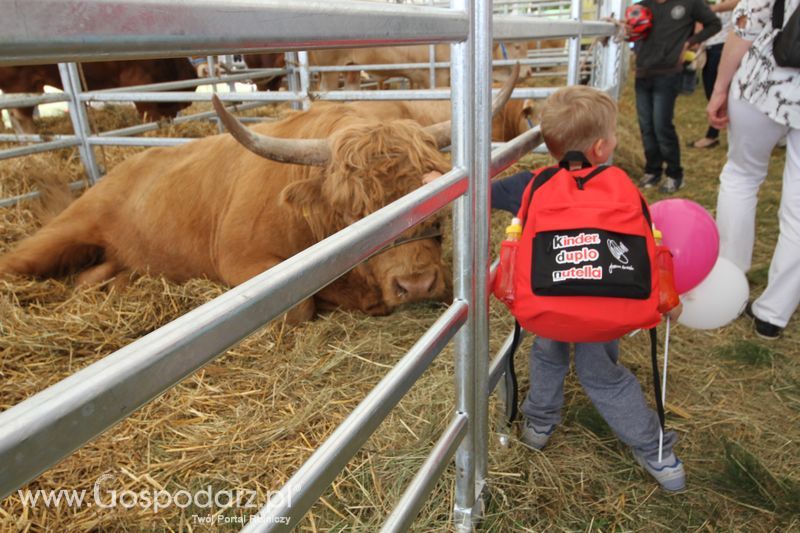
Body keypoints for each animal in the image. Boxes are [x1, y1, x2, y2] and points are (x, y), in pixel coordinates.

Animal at [0, 68, 520, 322]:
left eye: (440, 204)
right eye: (354, 215)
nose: (417, 285)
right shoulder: (241, 261)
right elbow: (300, 309)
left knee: (93, 277)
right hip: (62, 233)